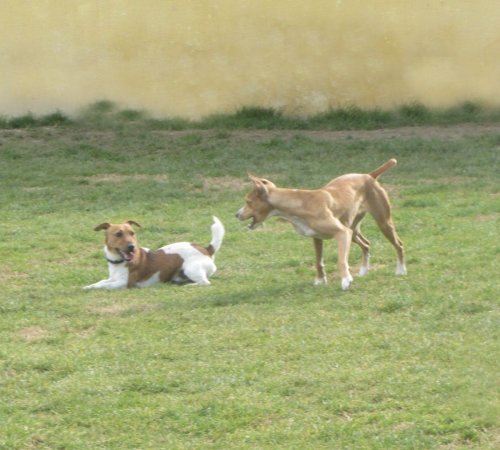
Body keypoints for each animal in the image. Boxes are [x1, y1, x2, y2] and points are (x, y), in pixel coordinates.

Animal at [83, 216, 224, 289]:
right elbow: (101, 282)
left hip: (191, 269)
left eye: (132, 233)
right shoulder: (112, 278)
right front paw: (88, 286)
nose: (132, 247)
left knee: (205, 282)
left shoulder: (125, 283)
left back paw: (189, 286)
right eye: (118, 234)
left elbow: (104, 286)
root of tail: (206, 249)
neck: (118, 262)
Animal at [236, 159, 406, 290]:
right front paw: (320, 280)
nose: (236, 214)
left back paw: (401, 270)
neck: (299, 203)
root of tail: (369, 176)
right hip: (352, 230)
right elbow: (319, 262)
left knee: (399, 245)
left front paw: (346, 280)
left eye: (248, 202)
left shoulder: (342, 233)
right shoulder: (317, 237)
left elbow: (341, 260)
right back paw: (364, 271)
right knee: (366, 244)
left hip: (381, 223)